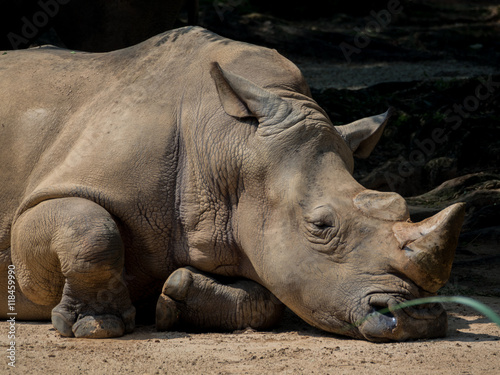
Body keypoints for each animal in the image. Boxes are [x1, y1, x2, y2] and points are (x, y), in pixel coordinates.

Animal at [0, 27, 464, 344]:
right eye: (321, 226)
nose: (419, 321)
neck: (228, 147)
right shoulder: (60, 191)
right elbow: (90, 231)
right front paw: (97, 327)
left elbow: (270, 297)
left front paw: (177, 297)